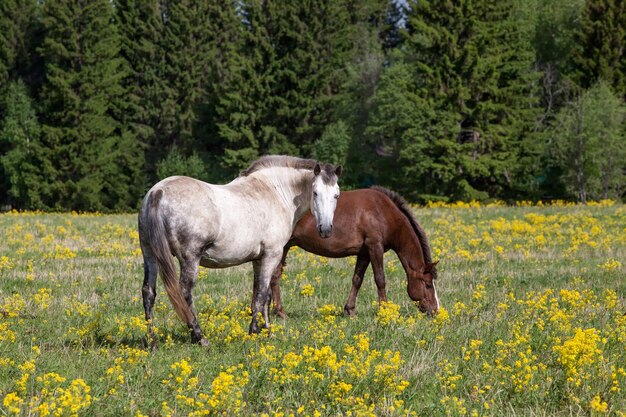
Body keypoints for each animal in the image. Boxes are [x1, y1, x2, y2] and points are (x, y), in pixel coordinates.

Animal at [138, 154, 342, 342]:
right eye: (315, 192)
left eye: (336, 195)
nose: (325, 229)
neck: (274, 191)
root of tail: (158, 191)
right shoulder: (272, 255)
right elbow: (262, 294)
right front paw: (254, 331)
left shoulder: (258, 259)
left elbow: (262, 296)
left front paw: (265, 330)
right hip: (190, 259)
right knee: (184, 294)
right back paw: (199, 336)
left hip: (150, 255)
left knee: (148, 293)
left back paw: (151, 341)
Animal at [266, 185, 436, 316]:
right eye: (428, 284)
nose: (435, 310)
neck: (383, 212)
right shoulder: (375, 247)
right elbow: (380, 279)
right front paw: (384, 311)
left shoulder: (364, 253)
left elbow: (357, 280)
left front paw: (350, 310)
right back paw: (279, 311)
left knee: (274, 276)